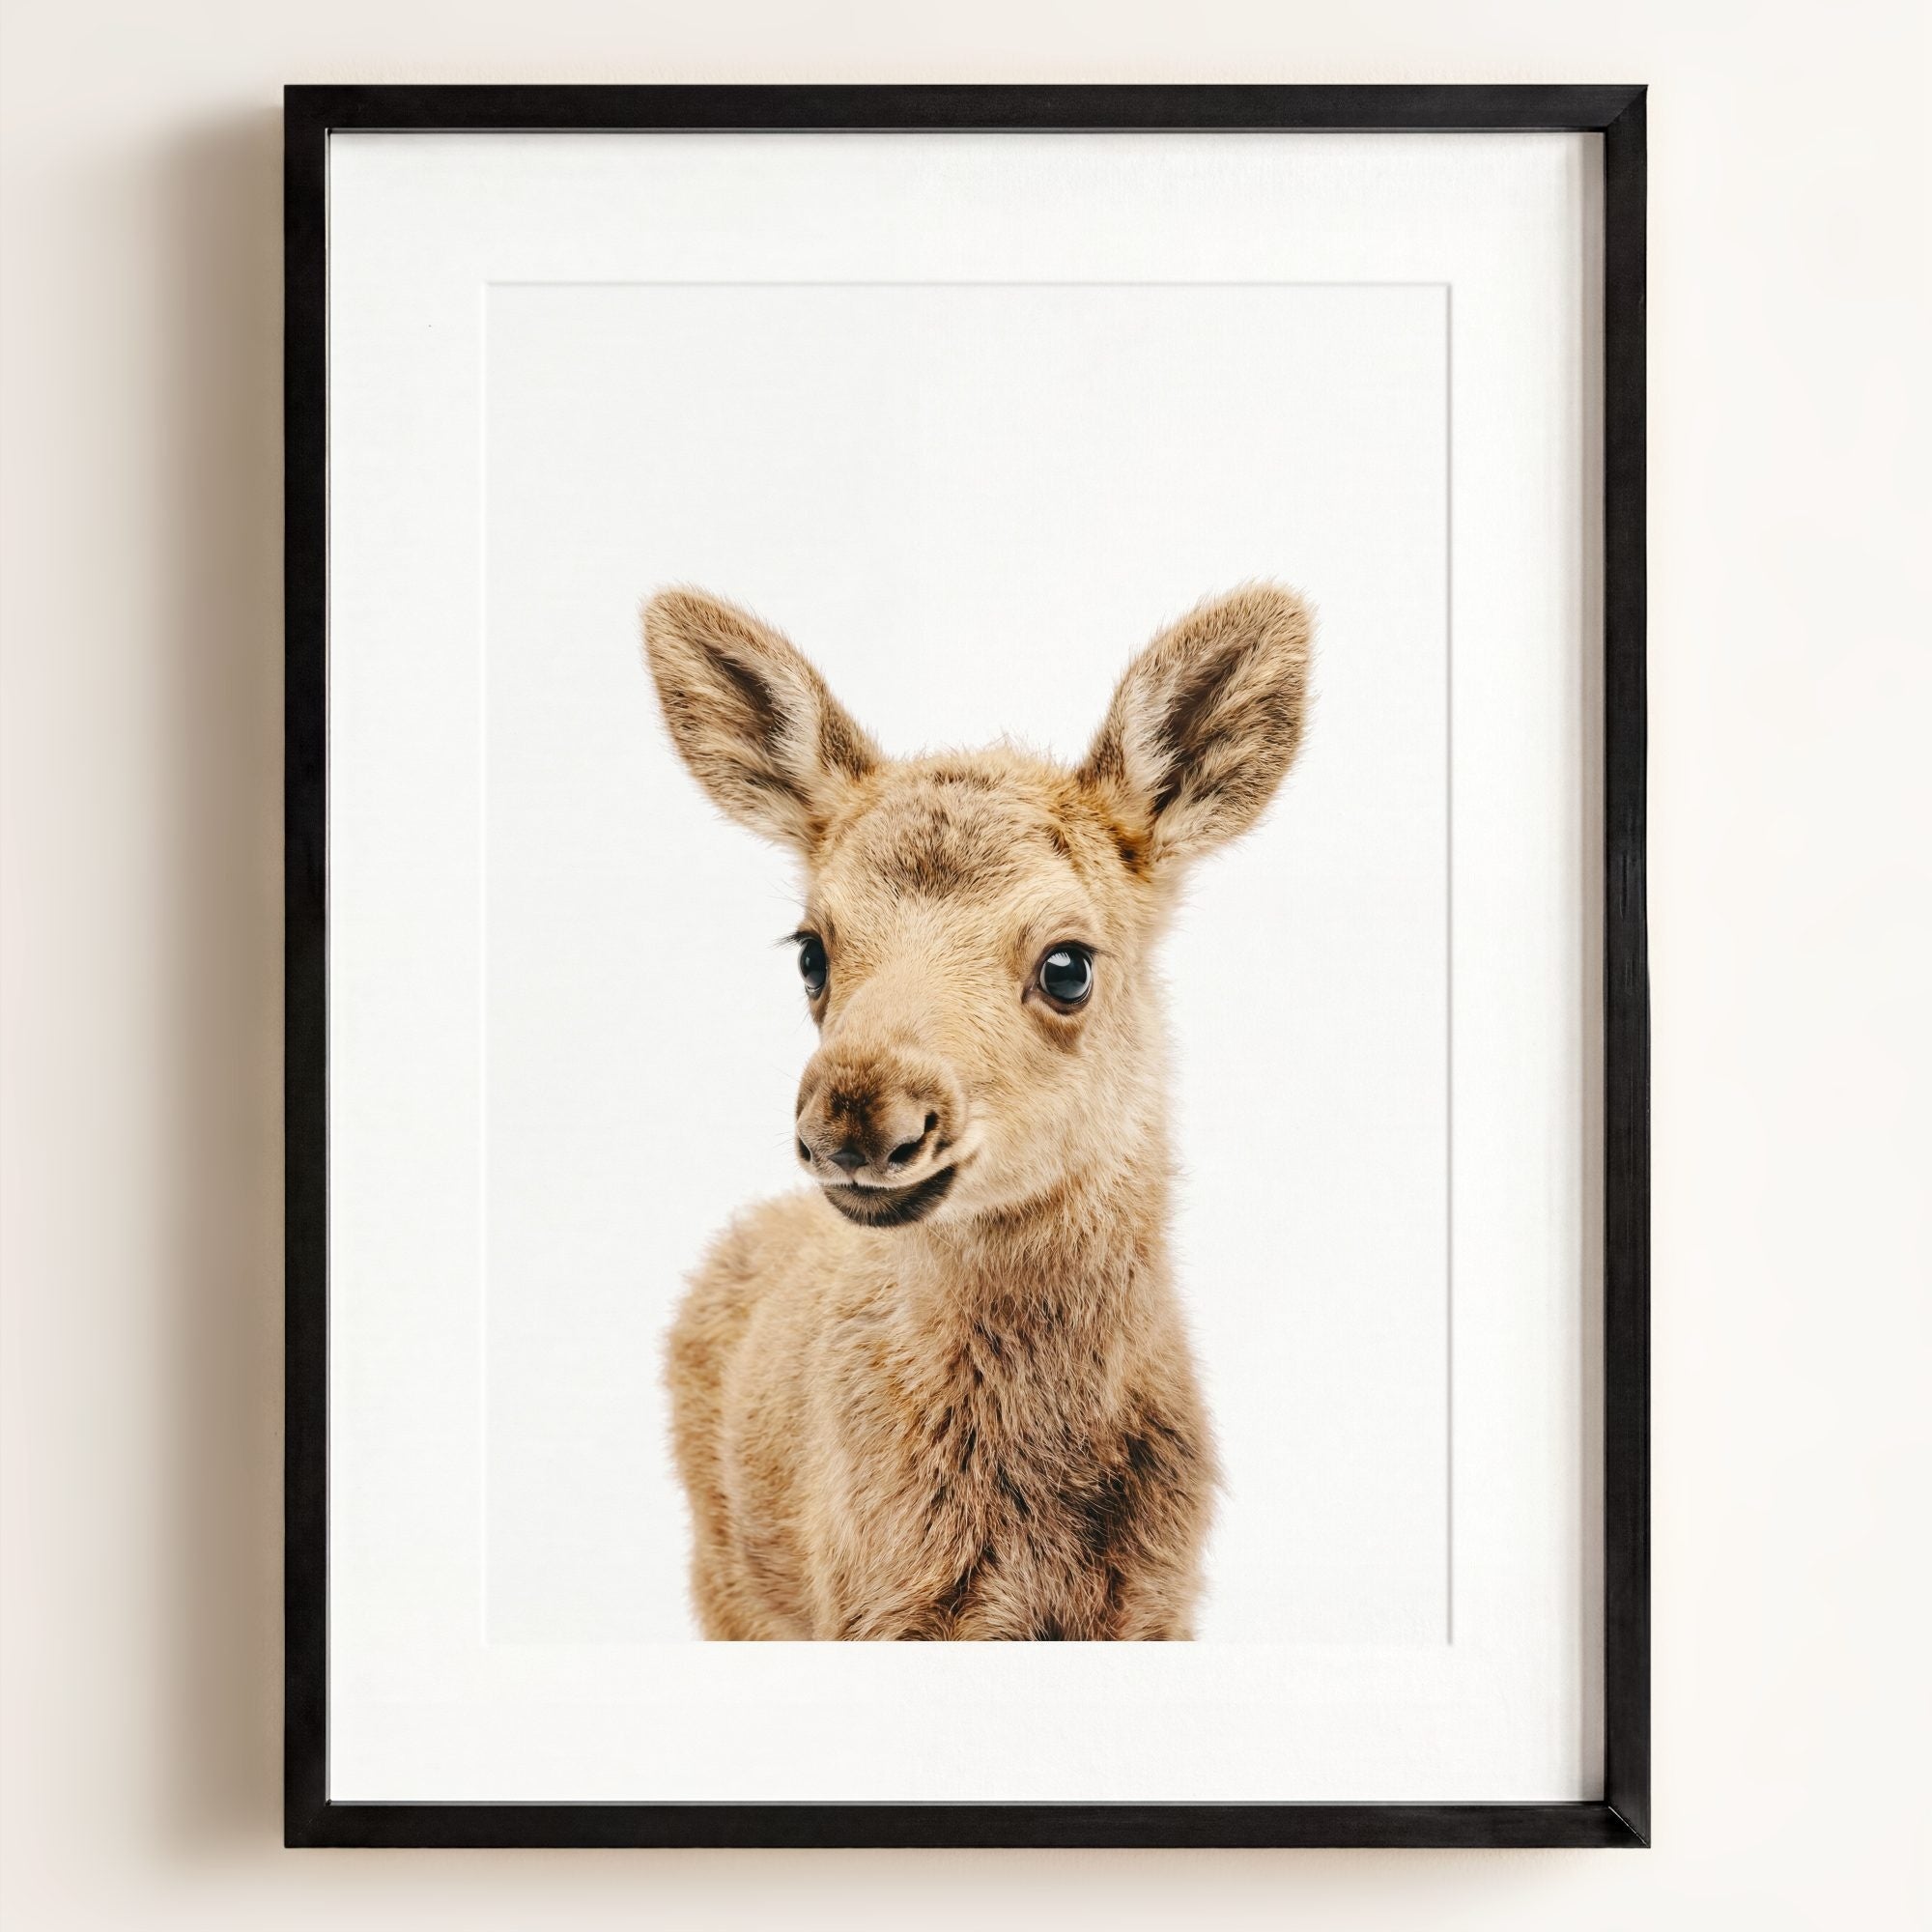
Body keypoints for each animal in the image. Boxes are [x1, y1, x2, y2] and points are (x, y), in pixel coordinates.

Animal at [643, 584, 1312, 1640]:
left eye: (1068, 964)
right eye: (811, 951)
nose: (858, 1117)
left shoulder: (1159, 1602)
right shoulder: (870, 1604)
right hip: (725, 1580)